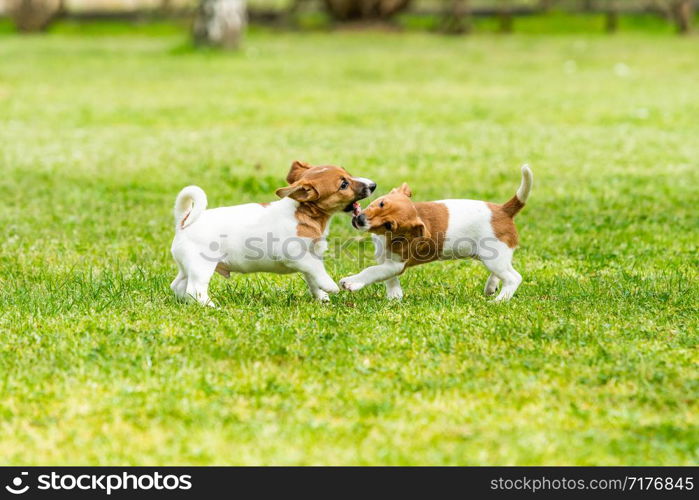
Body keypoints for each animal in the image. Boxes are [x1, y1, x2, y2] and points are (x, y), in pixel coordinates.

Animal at [170, 162, 378, 306]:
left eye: (348, 175)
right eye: (343, 184)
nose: (373, 185)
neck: (303, 213)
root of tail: (183, 221)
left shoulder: (309, 260)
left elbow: (313, 279)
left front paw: (322, 298)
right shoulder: (297, 256)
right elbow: (318, 270)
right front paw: (330, 287)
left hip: (188, 267)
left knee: (178, 286)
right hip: (202, 267)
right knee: (194, 290)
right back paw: (211, 306)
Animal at [342, 167, 532, 300]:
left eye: (389, 225)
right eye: (381, 203)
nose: (360, 220)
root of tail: (504, 210)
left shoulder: (395, 265)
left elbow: (372, 271)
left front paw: (352, 282)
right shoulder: (384, 258)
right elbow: (387, 277)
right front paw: (394, 296)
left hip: (494, 258)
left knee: (514, 278)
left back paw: (499, 300)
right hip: (493, 257)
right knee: (504, 272)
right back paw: (491, 287)